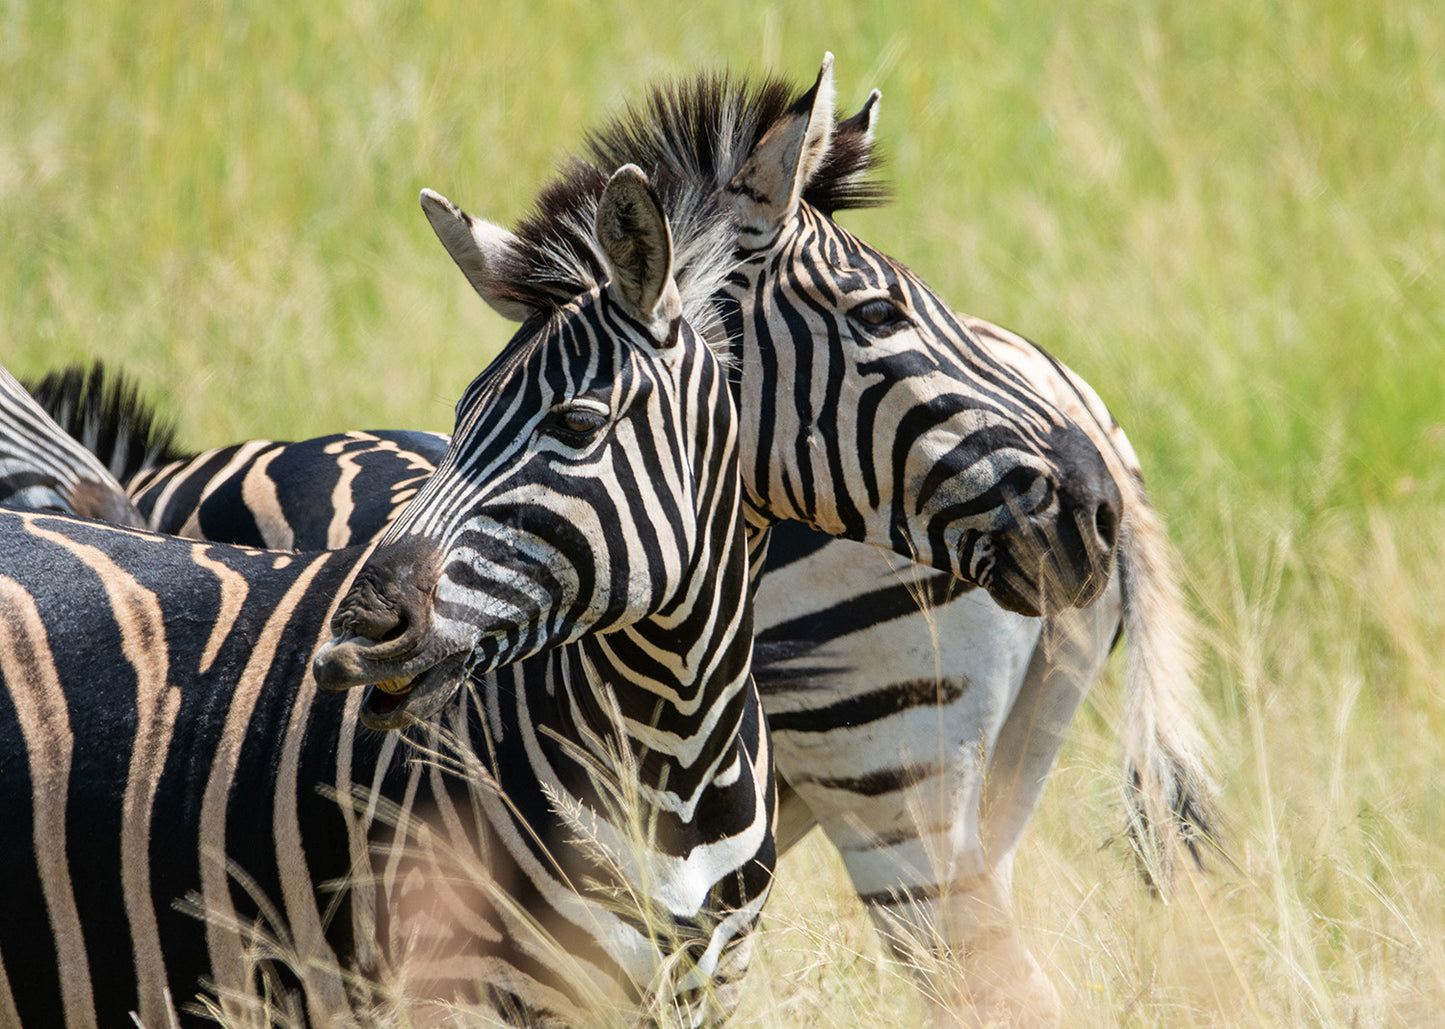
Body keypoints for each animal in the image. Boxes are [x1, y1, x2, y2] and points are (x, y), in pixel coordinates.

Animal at [0, 166, 776, 1028]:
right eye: (458, 418)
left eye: (576, 423)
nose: (358, 627)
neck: (672, 750)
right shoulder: (451, 982)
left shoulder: (705, 993)